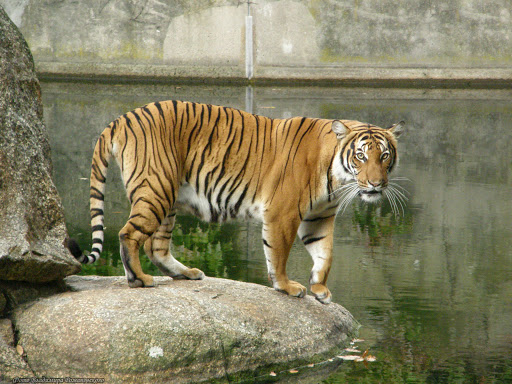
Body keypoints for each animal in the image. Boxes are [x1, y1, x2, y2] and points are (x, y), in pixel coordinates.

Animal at [68, 100, 404, 304]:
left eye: (385, 155)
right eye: (361, 156)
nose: (376, 184)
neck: (336, 178)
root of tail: (122, 118)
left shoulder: (319, 218)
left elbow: (325, 254)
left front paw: (320, 289)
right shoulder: (283, 214)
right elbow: (278, 254)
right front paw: (287, 286)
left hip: (167, 198)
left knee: (156, 245)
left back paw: (185, 273)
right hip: (156, 189)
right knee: (129, 234)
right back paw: (139, 279)